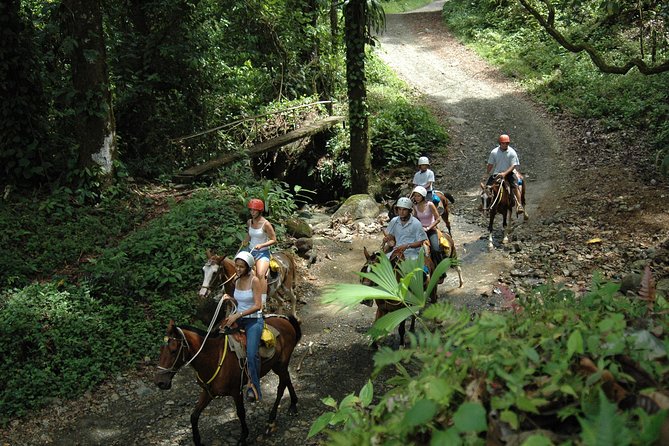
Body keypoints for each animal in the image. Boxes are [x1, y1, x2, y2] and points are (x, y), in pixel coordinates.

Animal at [154, 314, 300, 446]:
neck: (213, 357)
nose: (160, 382)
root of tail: (284, 320)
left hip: (280, 364)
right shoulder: (208, 392)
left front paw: (243, 437)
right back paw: (293, 404)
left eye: (173, 350)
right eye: (160, 349)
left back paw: (271, 419)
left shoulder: (236, 391)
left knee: (281, 387)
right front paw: (197, 441)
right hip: (278, 366)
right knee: (287, 379)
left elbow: (241, 413)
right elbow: (194, 416)